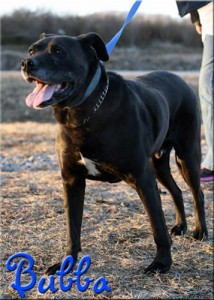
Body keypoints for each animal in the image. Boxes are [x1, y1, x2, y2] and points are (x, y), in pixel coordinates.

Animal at [21, 32, 207, 274]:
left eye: (59, 51)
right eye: (31, 50)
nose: (26, 63)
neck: (83, 114)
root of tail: (181, 80)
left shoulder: (142, 178)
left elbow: (157, 226)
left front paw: (162, 263)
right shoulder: (72, 181)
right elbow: (72, 228)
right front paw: (66, 263)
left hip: (187, 156)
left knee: (197, 193)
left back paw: (200, 232)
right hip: (158, 164)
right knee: (176, 191)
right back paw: (180, 226)